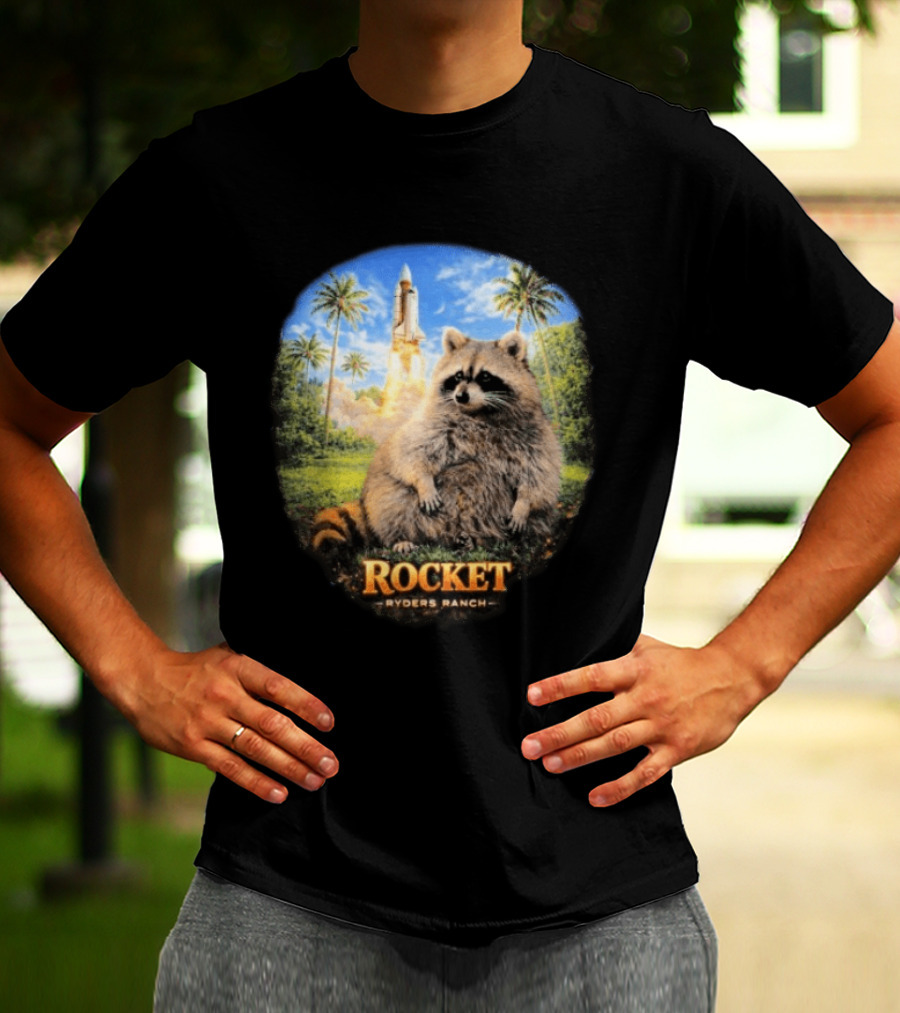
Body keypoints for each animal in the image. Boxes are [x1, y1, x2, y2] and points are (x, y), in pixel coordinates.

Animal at [311, 326, 563, 555]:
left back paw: (484, 540)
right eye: (458, 375)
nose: (461, 396)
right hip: (386, 495)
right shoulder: (433, 425)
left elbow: (539, 473)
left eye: (485, 376)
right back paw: (399, 538)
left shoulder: (534, 434)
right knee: (393, 504)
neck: (479, 414)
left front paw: (524, 503)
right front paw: (423, 481)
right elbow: (411, 452)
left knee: (537, 517)